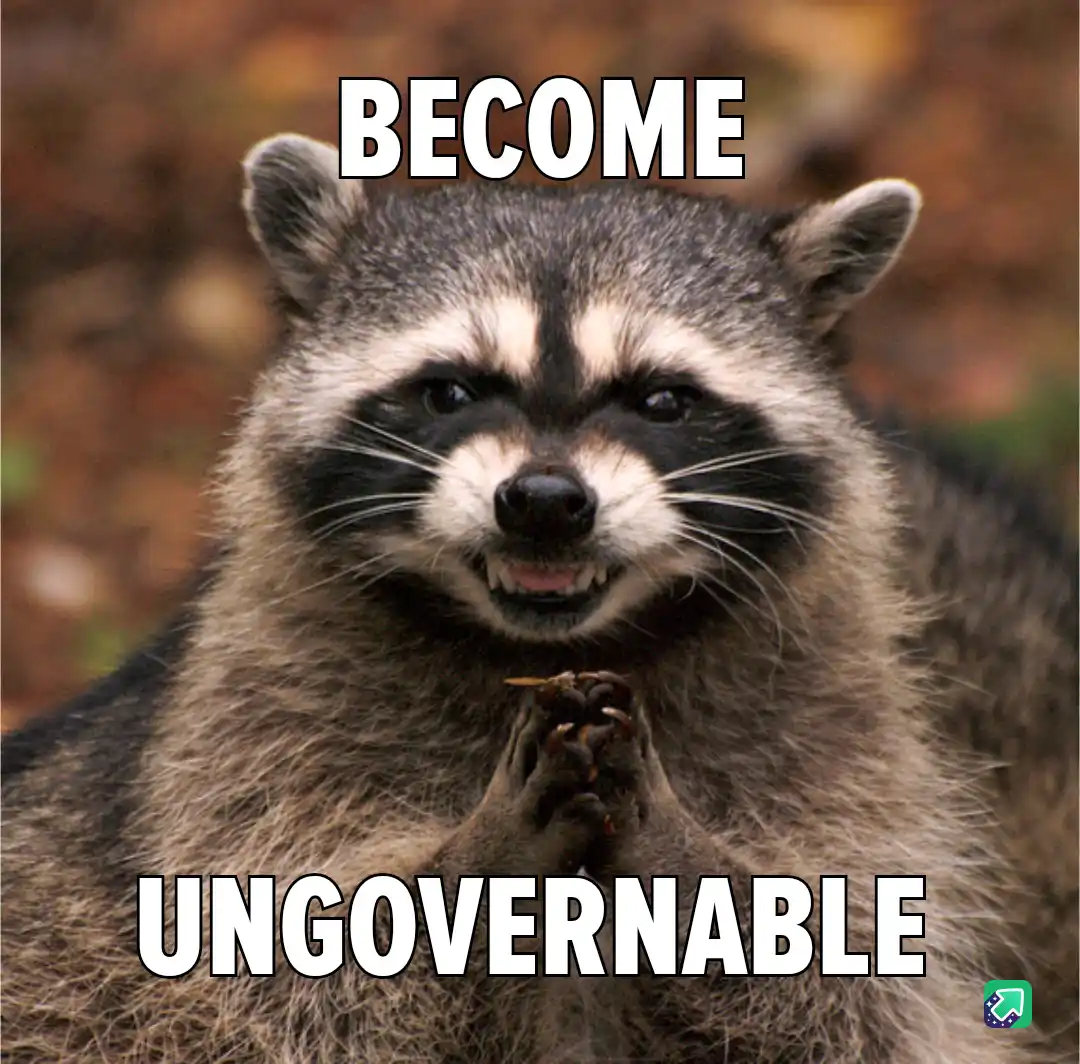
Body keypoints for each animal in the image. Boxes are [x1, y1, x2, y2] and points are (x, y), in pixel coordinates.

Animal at [2, 132, 1076, 1064]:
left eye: (662, 400)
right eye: (449, 391)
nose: (546, 502)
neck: (548, 644)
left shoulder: (834, 730)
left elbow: (855, 993)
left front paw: (690, 866)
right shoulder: (246, 738)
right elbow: (292, 975)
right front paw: (469, 871)